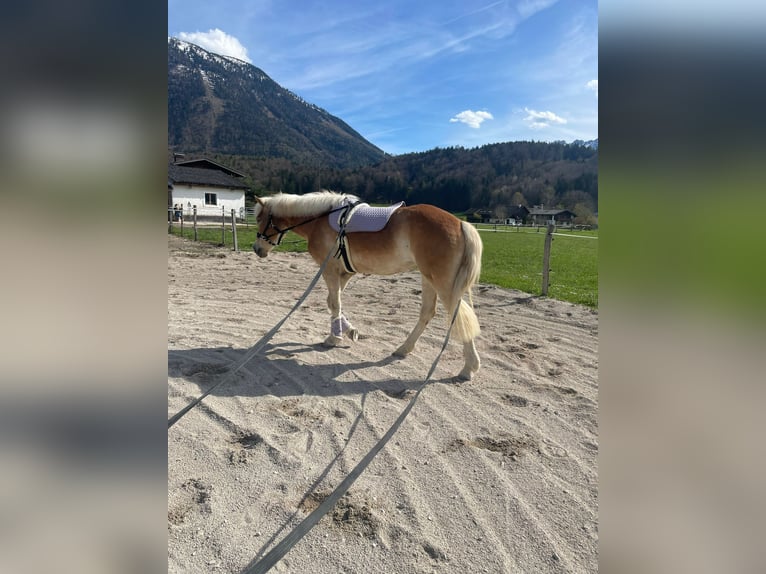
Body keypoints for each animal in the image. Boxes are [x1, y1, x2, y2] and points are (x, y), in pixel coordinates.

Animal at [255, 194, 484, 380]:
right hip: (428, 279)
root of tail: (460, 224)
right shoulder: (344, 273)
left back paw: (468, 368)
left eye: (259, 219)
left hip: (443, 284)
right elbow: (333, 302)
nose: (257, 249)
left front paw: (334, 338)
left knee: (458, 317)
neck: (319, 220)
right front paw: (349, 331)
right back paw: (404, 349)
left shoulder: (329, 270)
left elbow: (335, 304)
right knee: (427, 313)